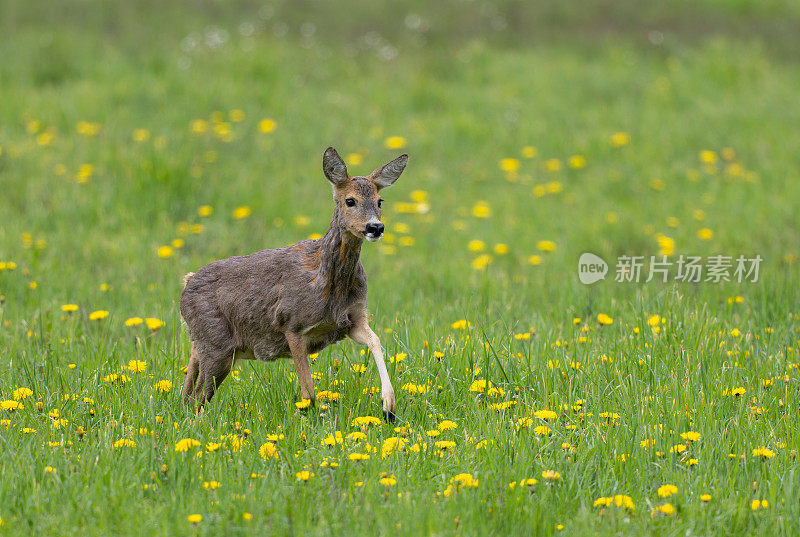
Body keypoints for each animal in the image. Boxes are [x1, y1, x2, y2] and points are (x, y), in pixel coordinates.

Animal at [180, 146, 406, 418]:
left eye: (380, 201)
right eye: (350, 200)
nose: (375, 227)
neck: (329, 285)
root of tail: (186, 283)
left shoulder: (353, 319)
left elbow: (376, 340)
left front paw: (388, 405)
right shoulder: (291, 323)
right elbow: (308, 393)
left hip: (205, 344)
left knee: (187, 391)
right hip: (217, 345)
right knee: (197, 397)